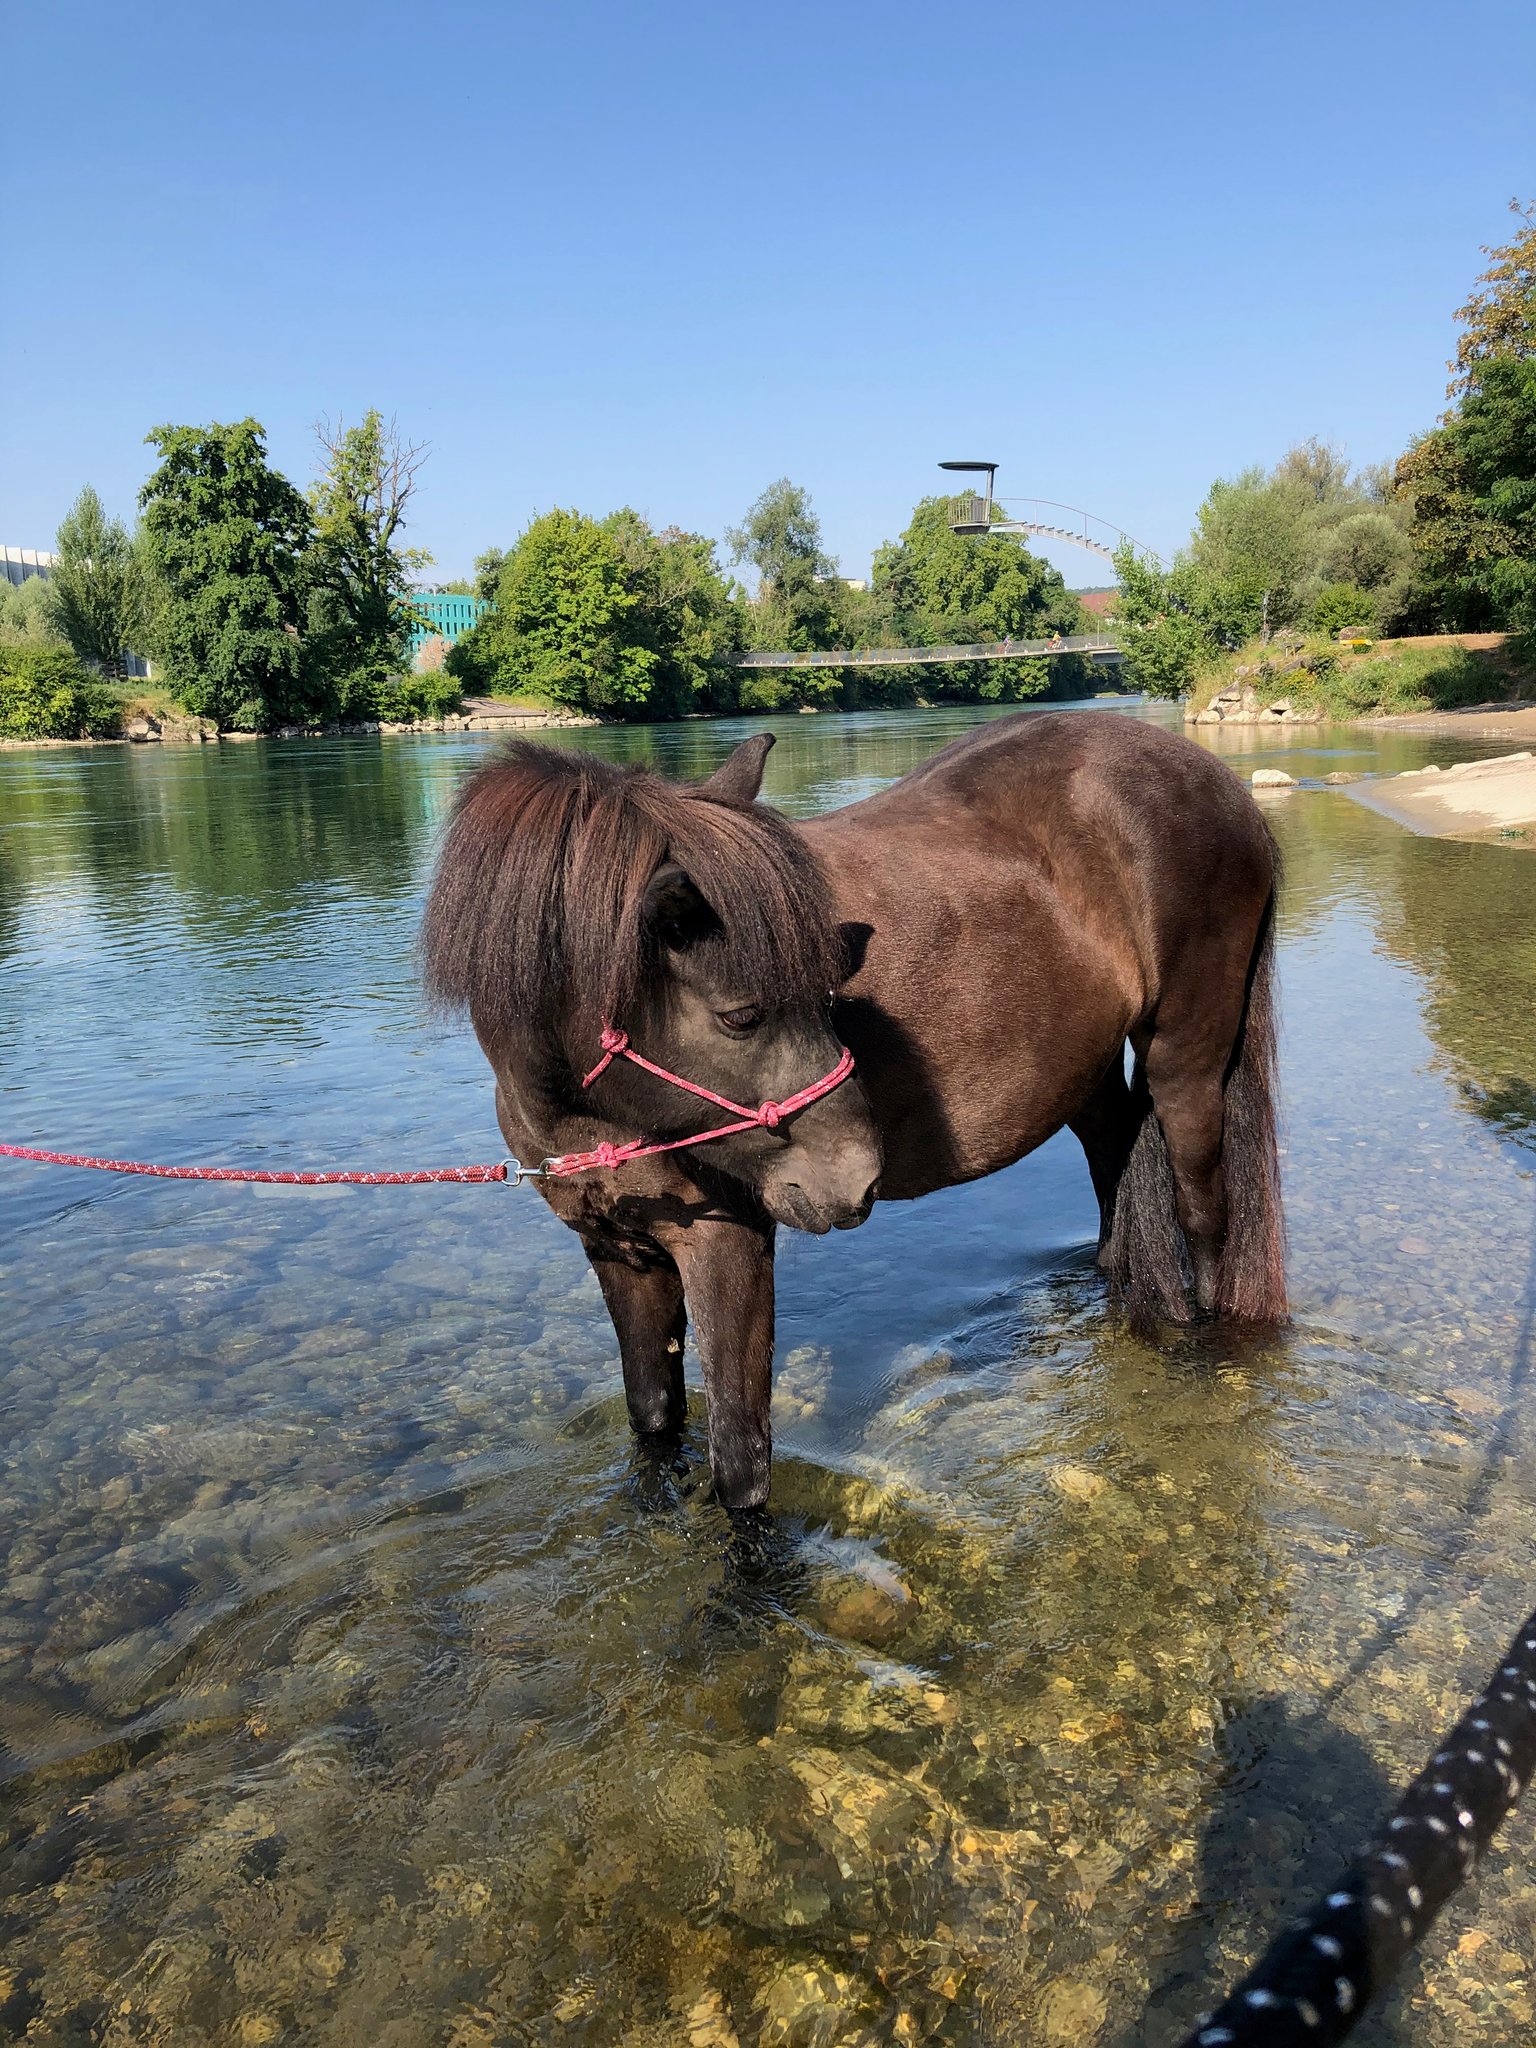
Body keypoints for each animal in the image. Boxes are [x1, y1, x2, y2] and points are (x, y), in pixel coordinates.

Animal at [421, 711, 1285, 1510]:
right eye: (741, 1016)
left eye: (831, 990)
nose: (856, 1179)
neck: (594, 1120)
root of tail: (1217, 781)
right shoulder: (620, 1252)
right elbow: (654, 1418)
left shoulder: (728, 1243)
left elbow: (740, 1461)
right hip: (1089, 1073)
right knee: (1114, 1178)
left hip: (1187, 1062)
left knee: (1205, 1216)